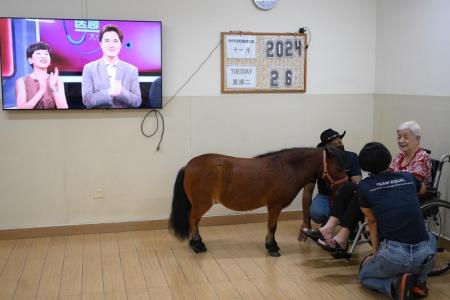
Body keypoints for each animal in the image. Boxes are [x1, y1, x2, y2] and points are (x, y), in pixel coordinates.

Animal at [169, 146, 348, 256]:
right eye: (339, 168)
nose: (346, 187)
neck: (286, 168)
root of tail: (188, 165)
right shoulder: (274, 206)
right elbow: (272, 227)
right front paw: (272, 247)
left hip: (199, 205)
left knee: (195, 221)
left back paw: (196, 243)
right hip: (201, 204)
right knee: (192, 220)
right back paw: (197, 245)